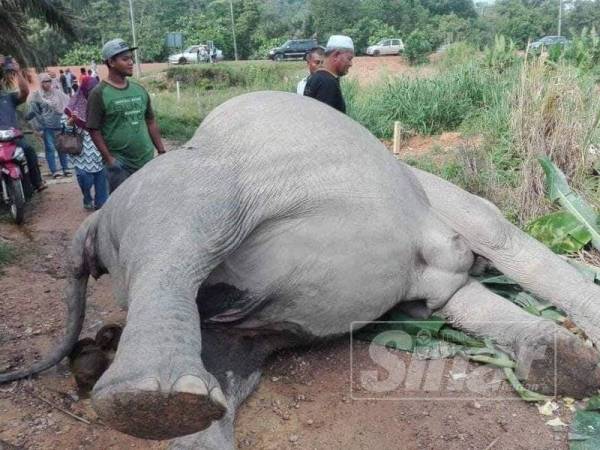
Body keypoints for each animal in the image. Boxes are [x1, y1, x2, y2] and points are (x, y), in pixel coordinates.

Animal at [1, 91, 600, 450]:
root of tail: (92, 223)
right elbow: (485, 238)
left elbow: (457, 285)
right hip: (194, 184)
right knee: (186, 235)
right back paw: (140, 395)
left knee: (226, 357)